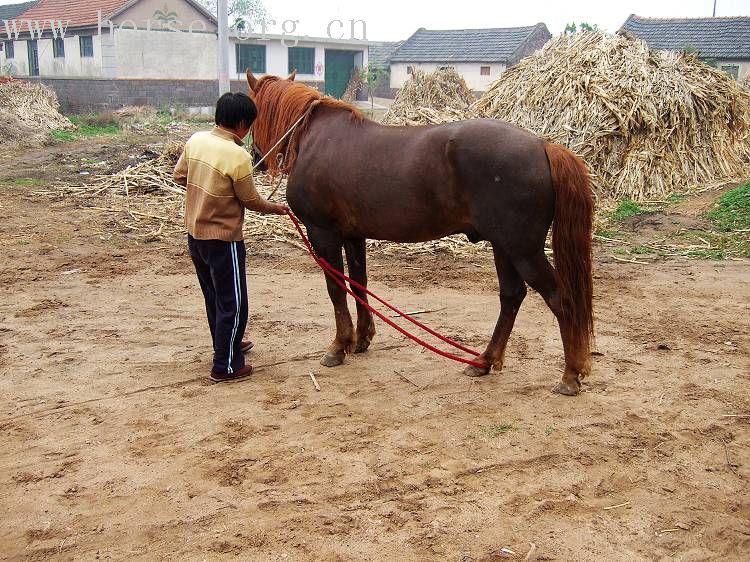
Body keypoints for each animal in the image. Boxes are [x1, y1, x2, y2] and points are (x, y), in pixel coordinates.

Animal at [250, 71, 596, 394]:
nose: (255, 158)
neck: (318, 139)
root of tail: (543, 146)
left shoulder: (323, 233)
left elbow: (337, 289)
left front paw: (339, 346)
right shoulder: (353, 236)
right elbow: (359, 284)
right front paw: (362, 338)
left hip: (523, 250)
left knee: (559, 298)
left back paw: (569, 375)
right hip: (504, 247)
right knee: (511, 296)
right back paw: (484, 360)